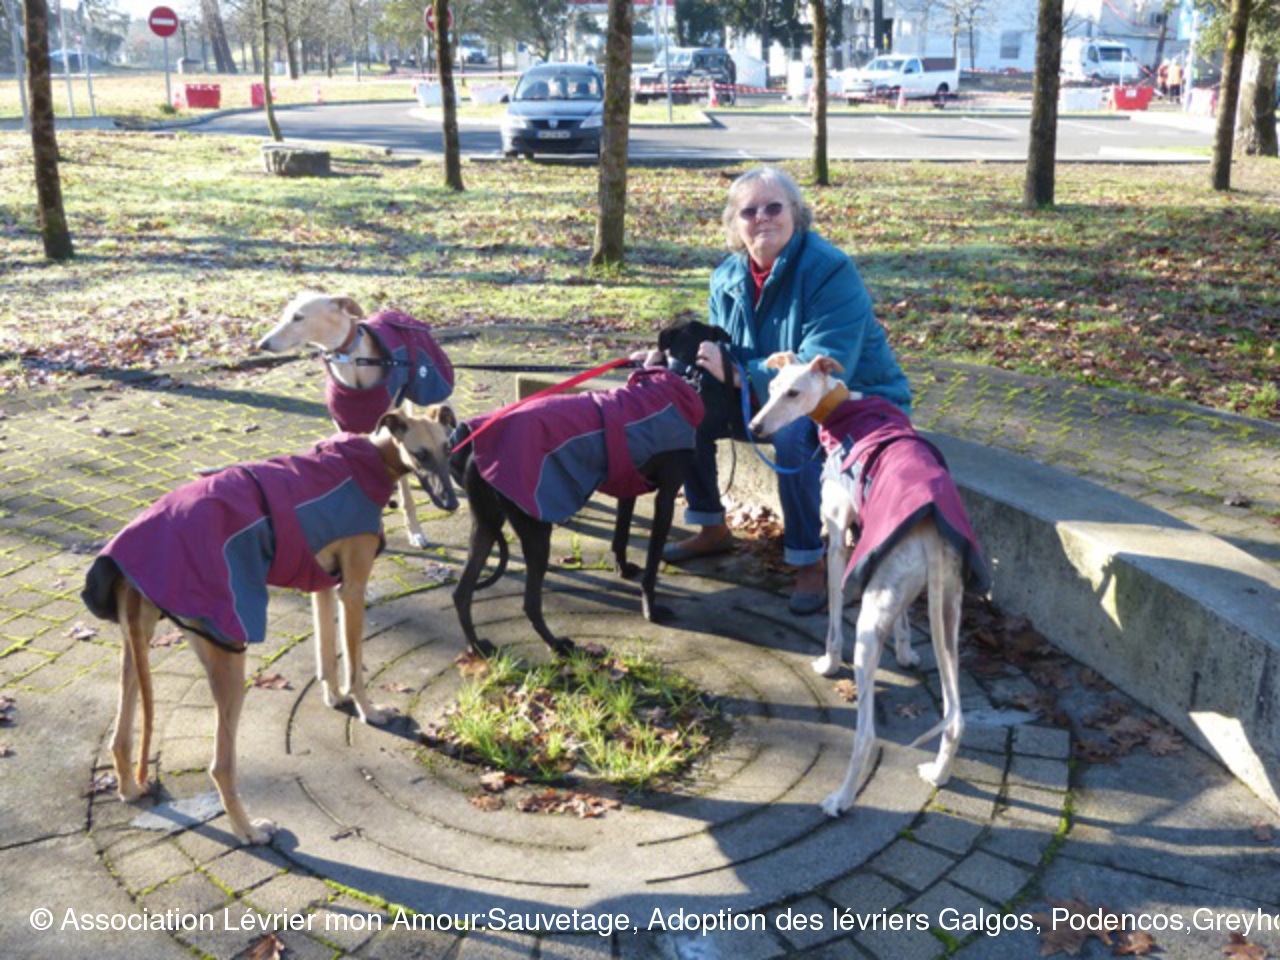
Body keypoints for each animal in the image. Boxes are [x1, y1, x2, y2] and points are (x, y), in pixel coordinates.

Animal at [80, 407, 458, 844]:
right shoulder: (353, 589)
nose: (451, 503)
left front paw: (334, 698)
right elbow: (354, 663)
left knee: (121, 738)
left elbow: (327, 655)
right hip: (227, 654)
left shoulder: (323, 585)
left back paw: (129, 788)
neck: (366, 460)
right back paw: (249, 830)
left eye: (448, 447)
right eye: (420, 454)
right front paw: (368, 710)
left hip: (136, 644)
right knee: (220, 765)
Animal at [257, 292, 455, 549]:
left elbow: (406, 492)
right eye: (284, 314)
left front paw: (415, 531)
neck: (353, 364)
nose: (262, 344)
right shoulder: (346, 425)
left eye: (298, 317)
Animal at [448, 363, 704, 658]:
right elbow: (652, 563)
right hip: (535, 530)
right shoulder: (666, 498)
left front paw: (622, 569)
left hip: (485, 525)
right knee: (530, 603)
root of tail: (472, 457)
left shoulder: (627, 483)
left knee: (462, 592)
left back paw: (477, 646)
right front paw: (650, 608)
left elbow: (621, 534)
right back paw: (556, 644)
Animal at [748, 354, 989, 818]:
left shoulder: (840, 536)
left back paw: (841, 799)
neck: (848, 411)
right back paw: (939, 773)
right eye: (770, 389)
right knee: (956, 716)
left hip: (870, 620)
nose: (755, 428)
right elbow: (905, 620)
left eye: (794, 393)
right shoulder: (877, 543)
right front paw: (906, 651)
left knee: (866, 735)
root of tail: (932, 535)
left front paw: (828, 662)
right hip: (945, 610)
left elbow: (832, 614)